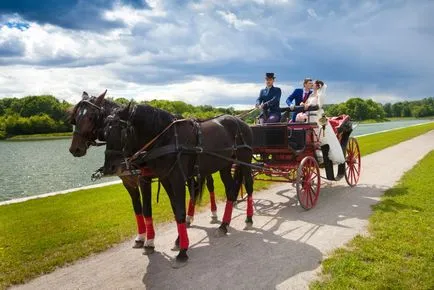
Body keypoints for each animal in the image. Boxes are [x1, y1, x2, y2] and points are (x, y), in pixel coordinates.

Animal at [68, 90, 219, 254]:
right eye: (75, 118)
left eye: (90, 116)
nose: (75, 149)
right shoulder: (129, 182)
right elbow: (138, 209)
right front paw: (141, 237)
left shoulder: (145, 179)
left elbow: (147, 209)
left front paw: (150, 241)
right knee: (193, 190)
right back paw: (189, 218)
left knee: (209, 186)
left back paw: (213, 214)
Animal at [103, 102, 256, 268]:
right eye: (104, 133)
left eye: (121, 132)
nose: (109, 168)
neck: (167, 138)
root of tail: (240, 122)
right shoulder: (165, 179)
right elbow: (175, 209)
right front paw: (180, 241)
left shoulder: (178, 179)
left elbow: (181, 211)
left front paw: (183, 251)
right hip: (225, 165)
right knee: (231, 191)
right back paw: (223, 225)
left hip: (245, 160)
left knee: (249, 186)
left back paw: (249, 219)